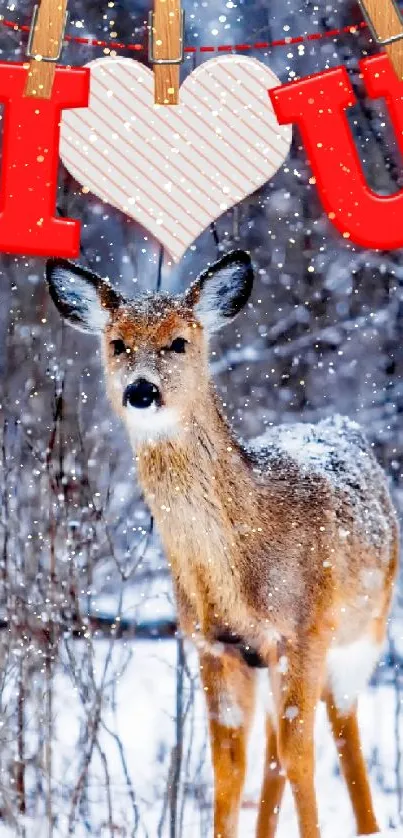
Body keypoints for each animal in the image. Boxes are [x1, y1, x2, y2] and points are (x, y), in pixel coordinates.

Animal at [45, 251, 400, 838]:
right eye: (117, 343)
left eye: (179, 342)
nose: (140, 391)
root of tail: (340, 423)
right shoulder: (214, 644)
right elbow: (228, 770)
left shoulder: (304, 631)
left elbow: (303, 758)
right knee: (274, 749)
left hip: (362, 633)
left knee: (340, 728)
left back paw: (370, 825)